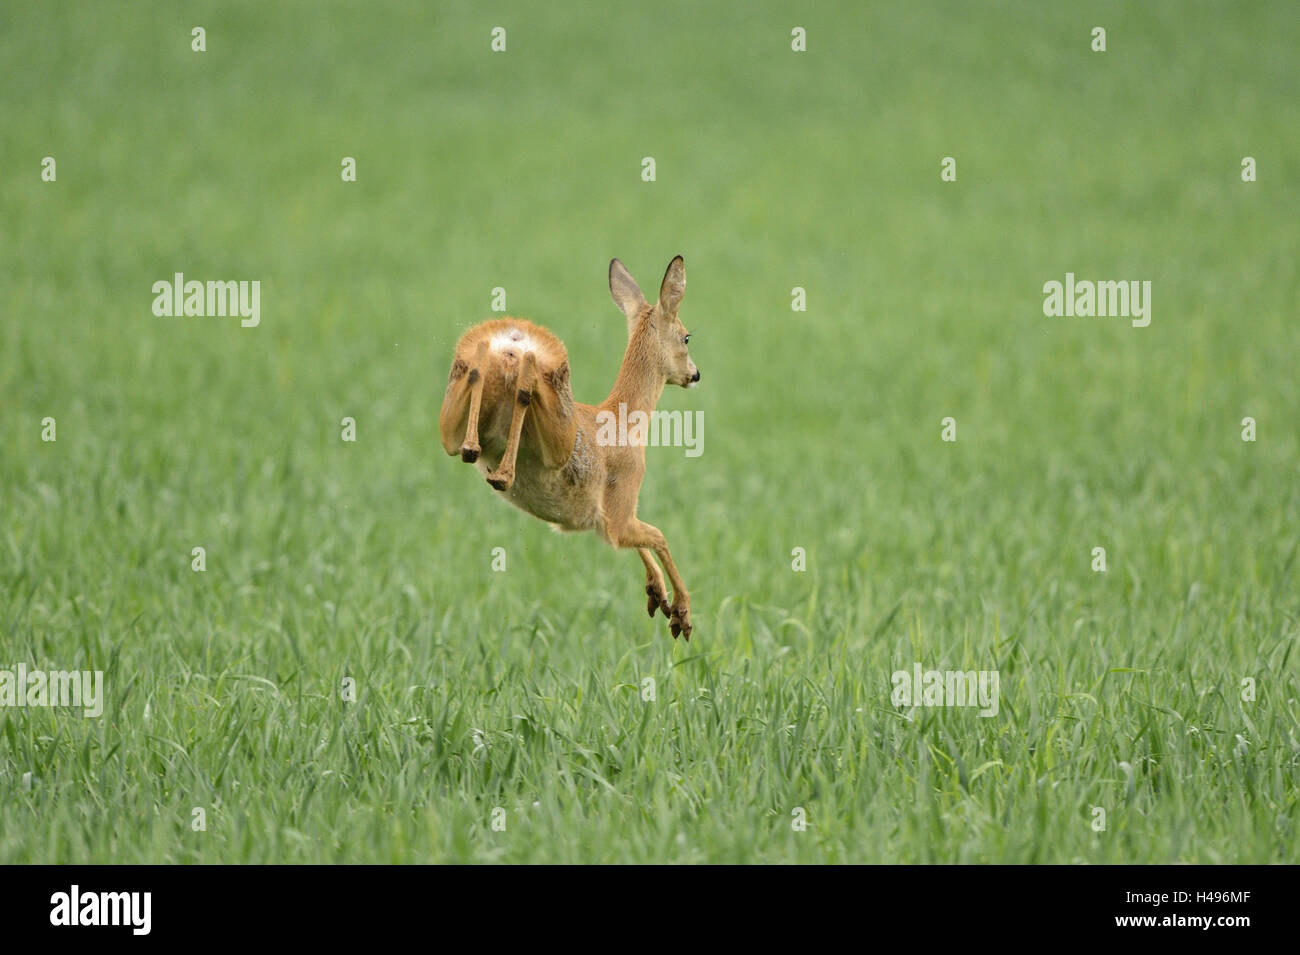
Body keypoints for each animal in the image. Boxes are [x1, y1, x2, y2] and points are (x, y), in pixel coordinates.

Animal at [436, 257, 702, 639]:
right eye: (686, 336)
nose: (695, 375)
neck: (626, 419)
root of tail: (510, 345)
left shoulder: (609, 519)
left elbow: (645, 542)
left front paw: (657, 595)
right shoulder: (619, 510)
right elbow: (659, 536)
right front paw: (681, 613)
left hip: (450, 423)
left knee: (475, 381)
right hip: (557, 434)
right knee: (526, 385)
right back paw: (502, 471)